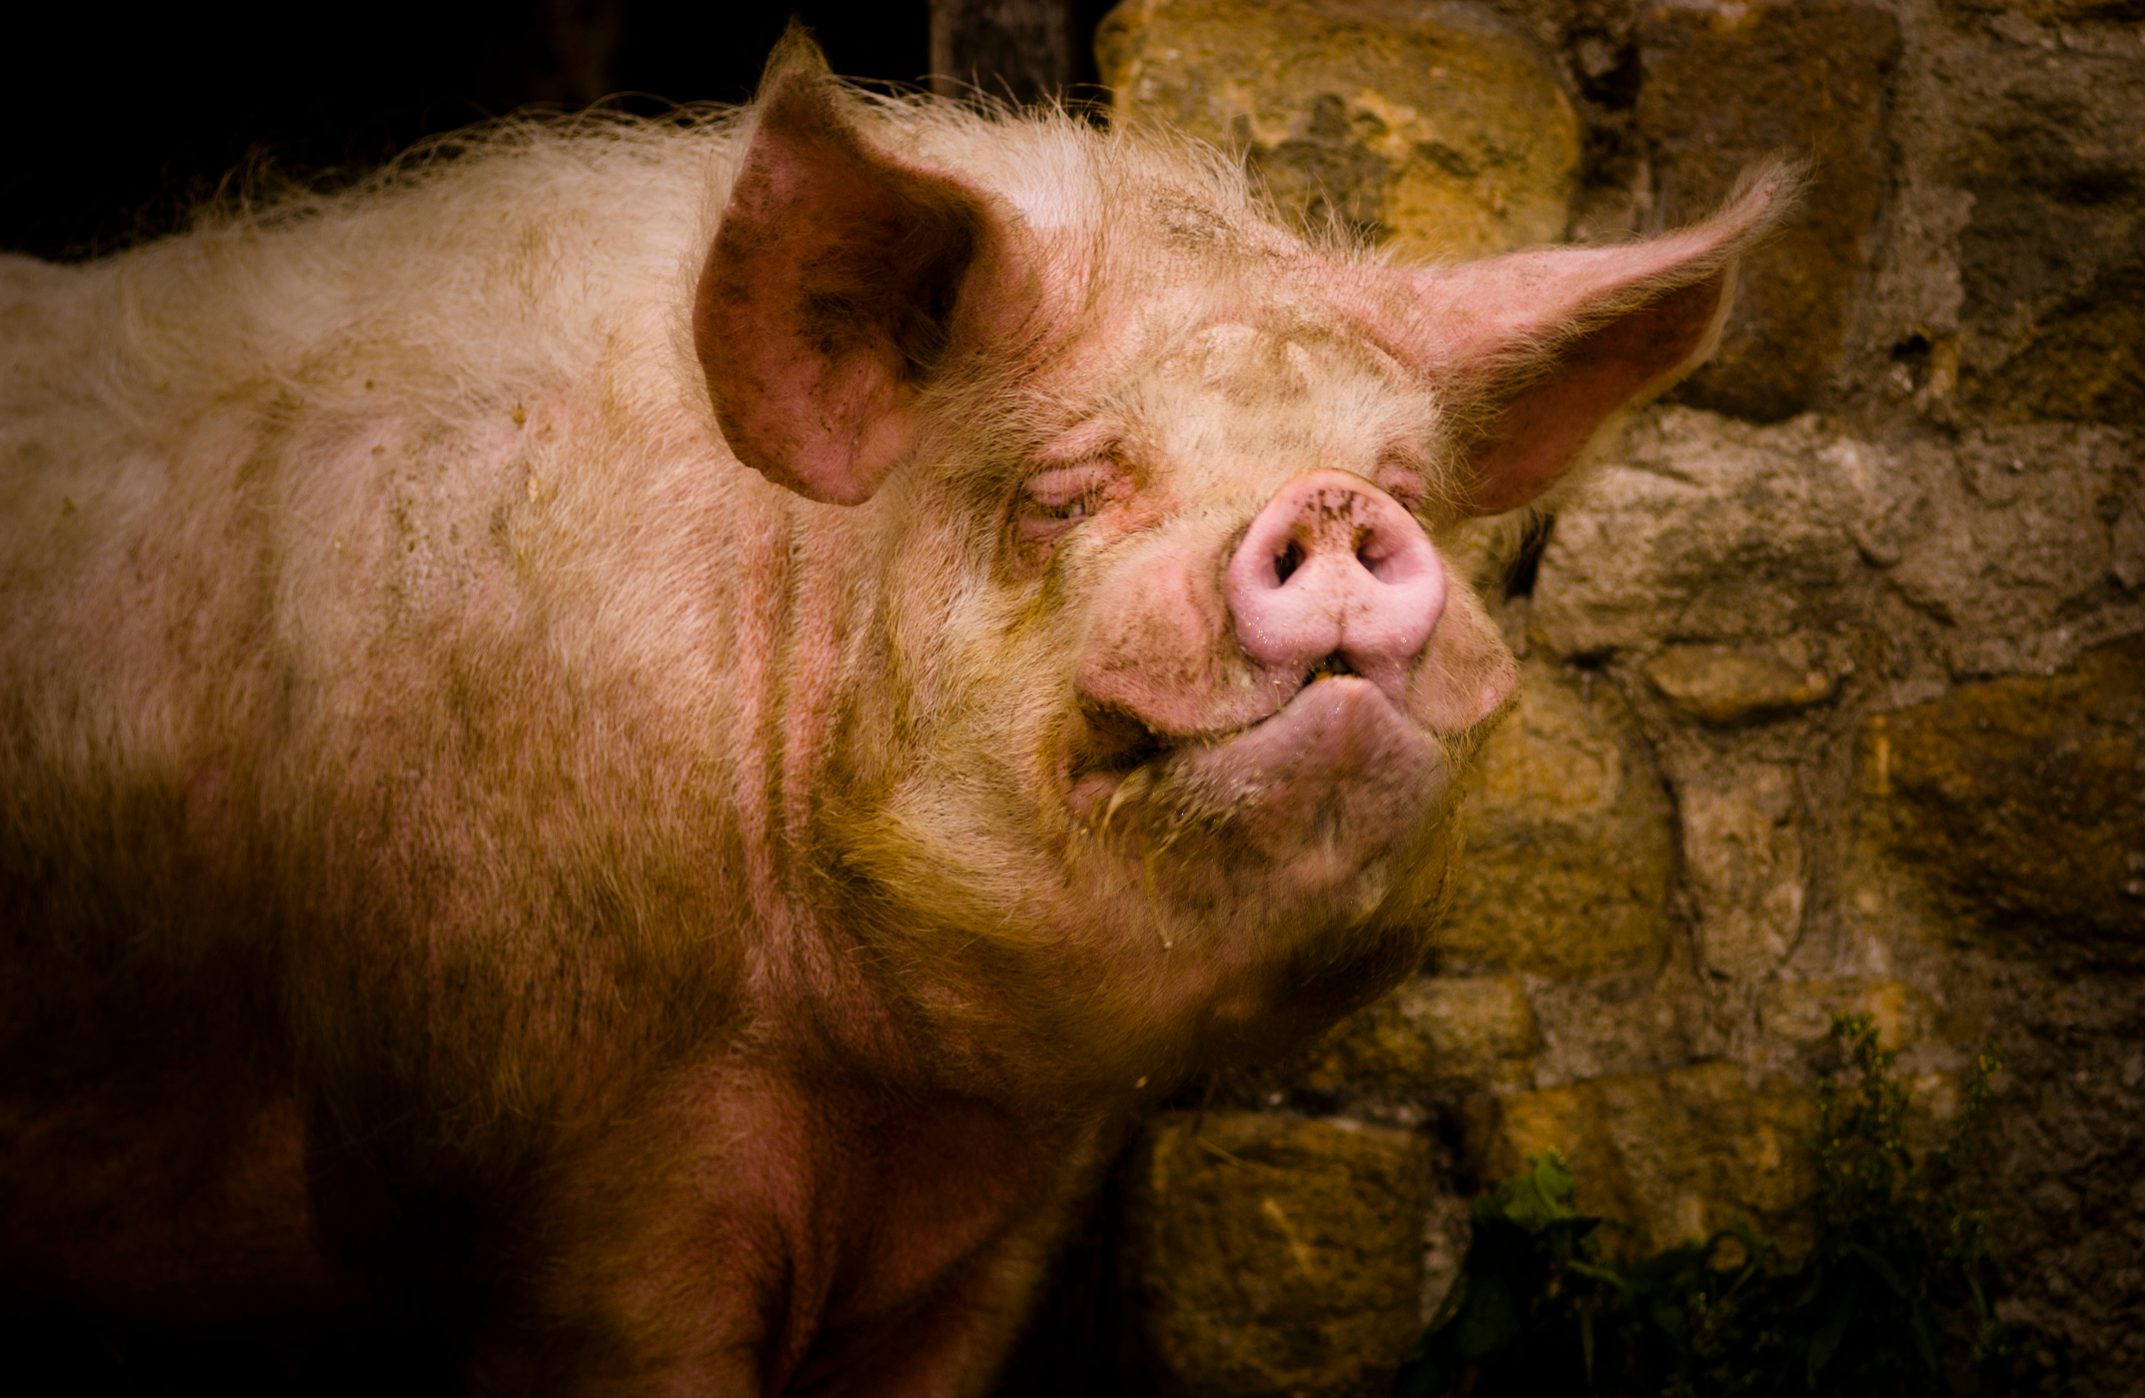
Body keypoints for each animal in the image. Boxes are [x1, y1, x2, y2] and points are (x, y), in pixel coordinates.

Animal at [0, 29, 1791, 1396]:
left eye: (1409, 480)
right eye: (1064, 489)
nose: (1336, 503)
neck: (871, 1088)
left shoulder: (999, 1229)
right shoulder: (551, 1178)